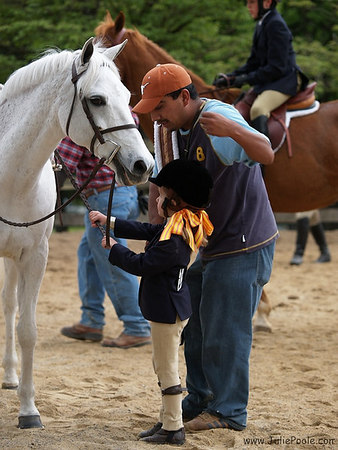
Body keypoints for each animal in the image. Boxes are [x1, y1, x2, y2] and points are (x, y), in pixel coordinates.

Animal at [0, 37, 153, 428]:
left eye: (127, 96)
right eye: (97, 99)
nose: (143, 165)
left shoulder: (34, 256)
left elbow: (27, 330)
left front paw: (28, 411)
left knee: (8, 306)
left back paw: (9, 375)